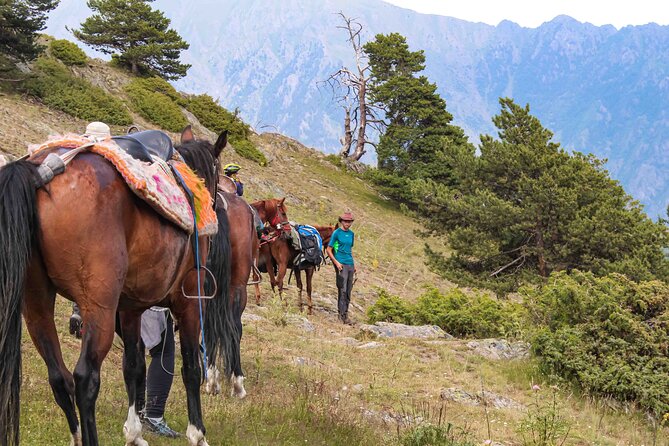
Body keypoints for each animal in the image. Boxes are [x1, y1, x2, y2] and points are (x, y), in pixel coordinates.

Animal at [0, 126, 231, 446]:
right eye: (217, 173)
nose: (218, 205)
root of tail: (38, 173)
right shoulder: (189, 303)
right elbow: (191, 368)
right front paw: (197, 434)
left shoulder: (130, 309)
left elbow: (133, 366)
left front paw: (133, 433)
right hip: (99, 309)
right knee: (85, 379)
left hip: (36, 304)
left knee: (59, 377)